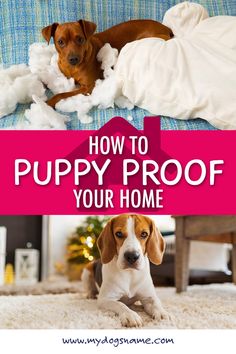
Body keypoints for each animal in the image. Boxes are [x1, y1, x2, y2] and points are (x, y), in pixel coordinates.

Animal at [42, 19, 173, 107]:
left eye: (80, 39)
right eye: (60, 42)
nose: (73, 59)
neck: (72, 68)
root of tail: (166, 28)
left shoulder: (88, 87)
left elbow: (62, 94)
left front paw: (49, 102)